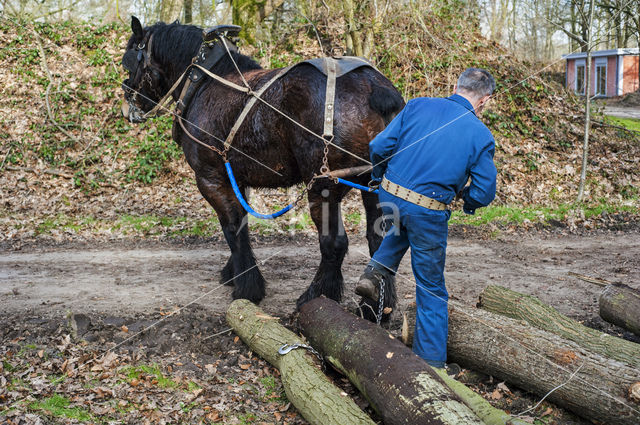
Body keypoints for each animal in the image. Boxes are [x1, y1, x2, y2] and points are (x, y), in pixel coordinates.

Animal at [120, 16, 402, 316]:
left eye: (129, 62)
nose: (127, 109)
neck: (203, 81)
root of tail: (375, 89)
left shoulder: (210, 178)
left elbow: (232, 227)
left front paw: (247, 287)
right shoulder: (236, 177)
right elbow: (240, 223)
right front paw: (233, 272)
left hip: (323, 185)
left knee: (334, 243)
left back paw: (316, 295)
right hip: (373, 186)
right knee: (380, 239)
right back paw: (375, 306)